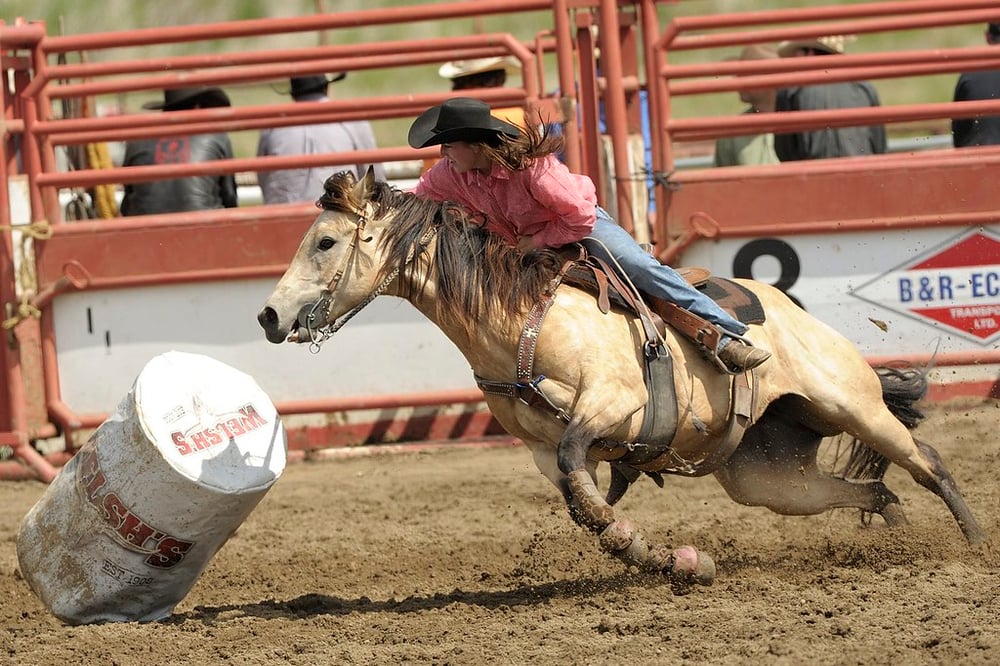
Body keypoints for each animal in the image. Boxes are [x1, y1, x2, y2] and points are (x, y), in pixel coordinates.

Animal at [256, 170, 984, 588]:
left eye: (325, 242)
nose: (268, 314)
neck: (517, 320)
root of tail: (790, 313)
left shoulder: (614, 406)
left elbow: (584, 467)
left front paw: (649, 547)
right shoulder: (539, 450)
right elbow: (581, 501)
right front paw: (667, 558)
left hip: (852, 404)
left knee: (927, 459)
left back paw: (974, 544)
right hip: (768, 474)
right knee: (866, 488)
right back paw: (895, 532)